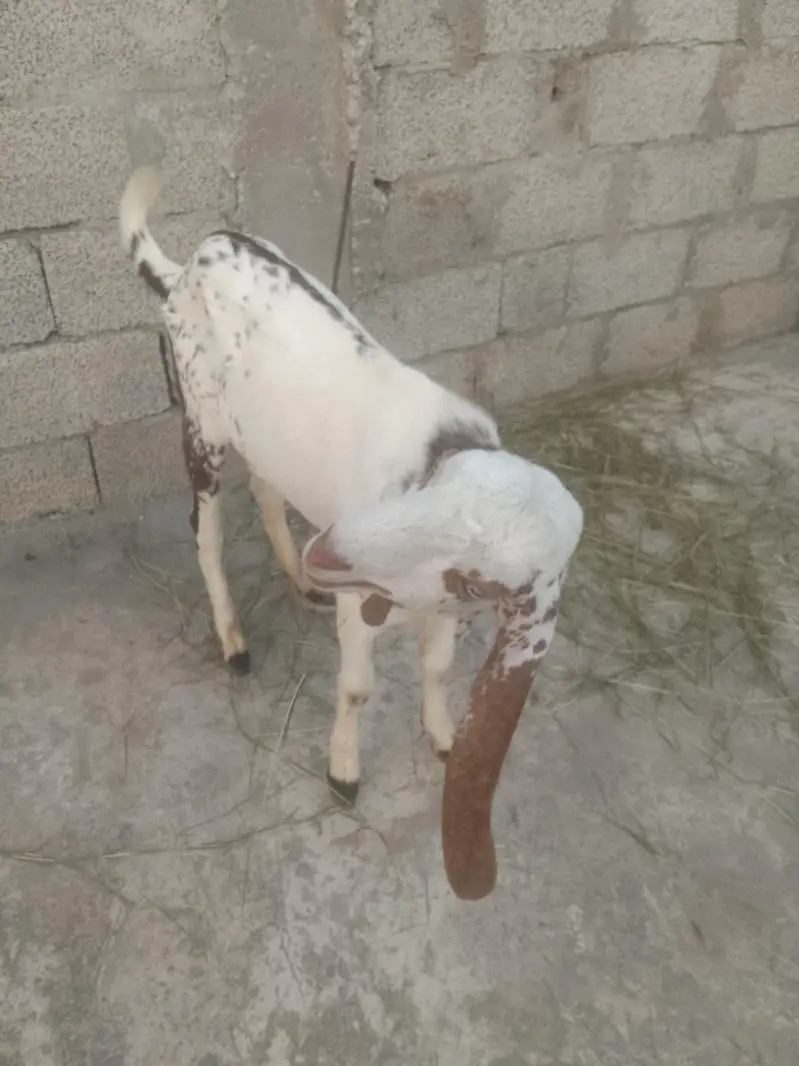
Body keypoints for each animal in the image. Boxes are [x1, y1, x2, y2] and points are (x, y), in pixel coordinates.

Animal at [119, 167, 583, 900]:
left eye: (478, 579)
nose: (331, 556)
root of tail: (190, 263)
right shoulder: (363, 605)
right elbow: (359, 686)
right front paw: (343, 772)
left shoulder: (438, 606)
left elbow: (439, 666)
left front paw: (441, 735)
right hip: (201, 422)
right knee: (206, 529)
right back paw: (233, 640)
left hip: (265, 433)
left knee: (267, 490)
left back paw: (294, 576)